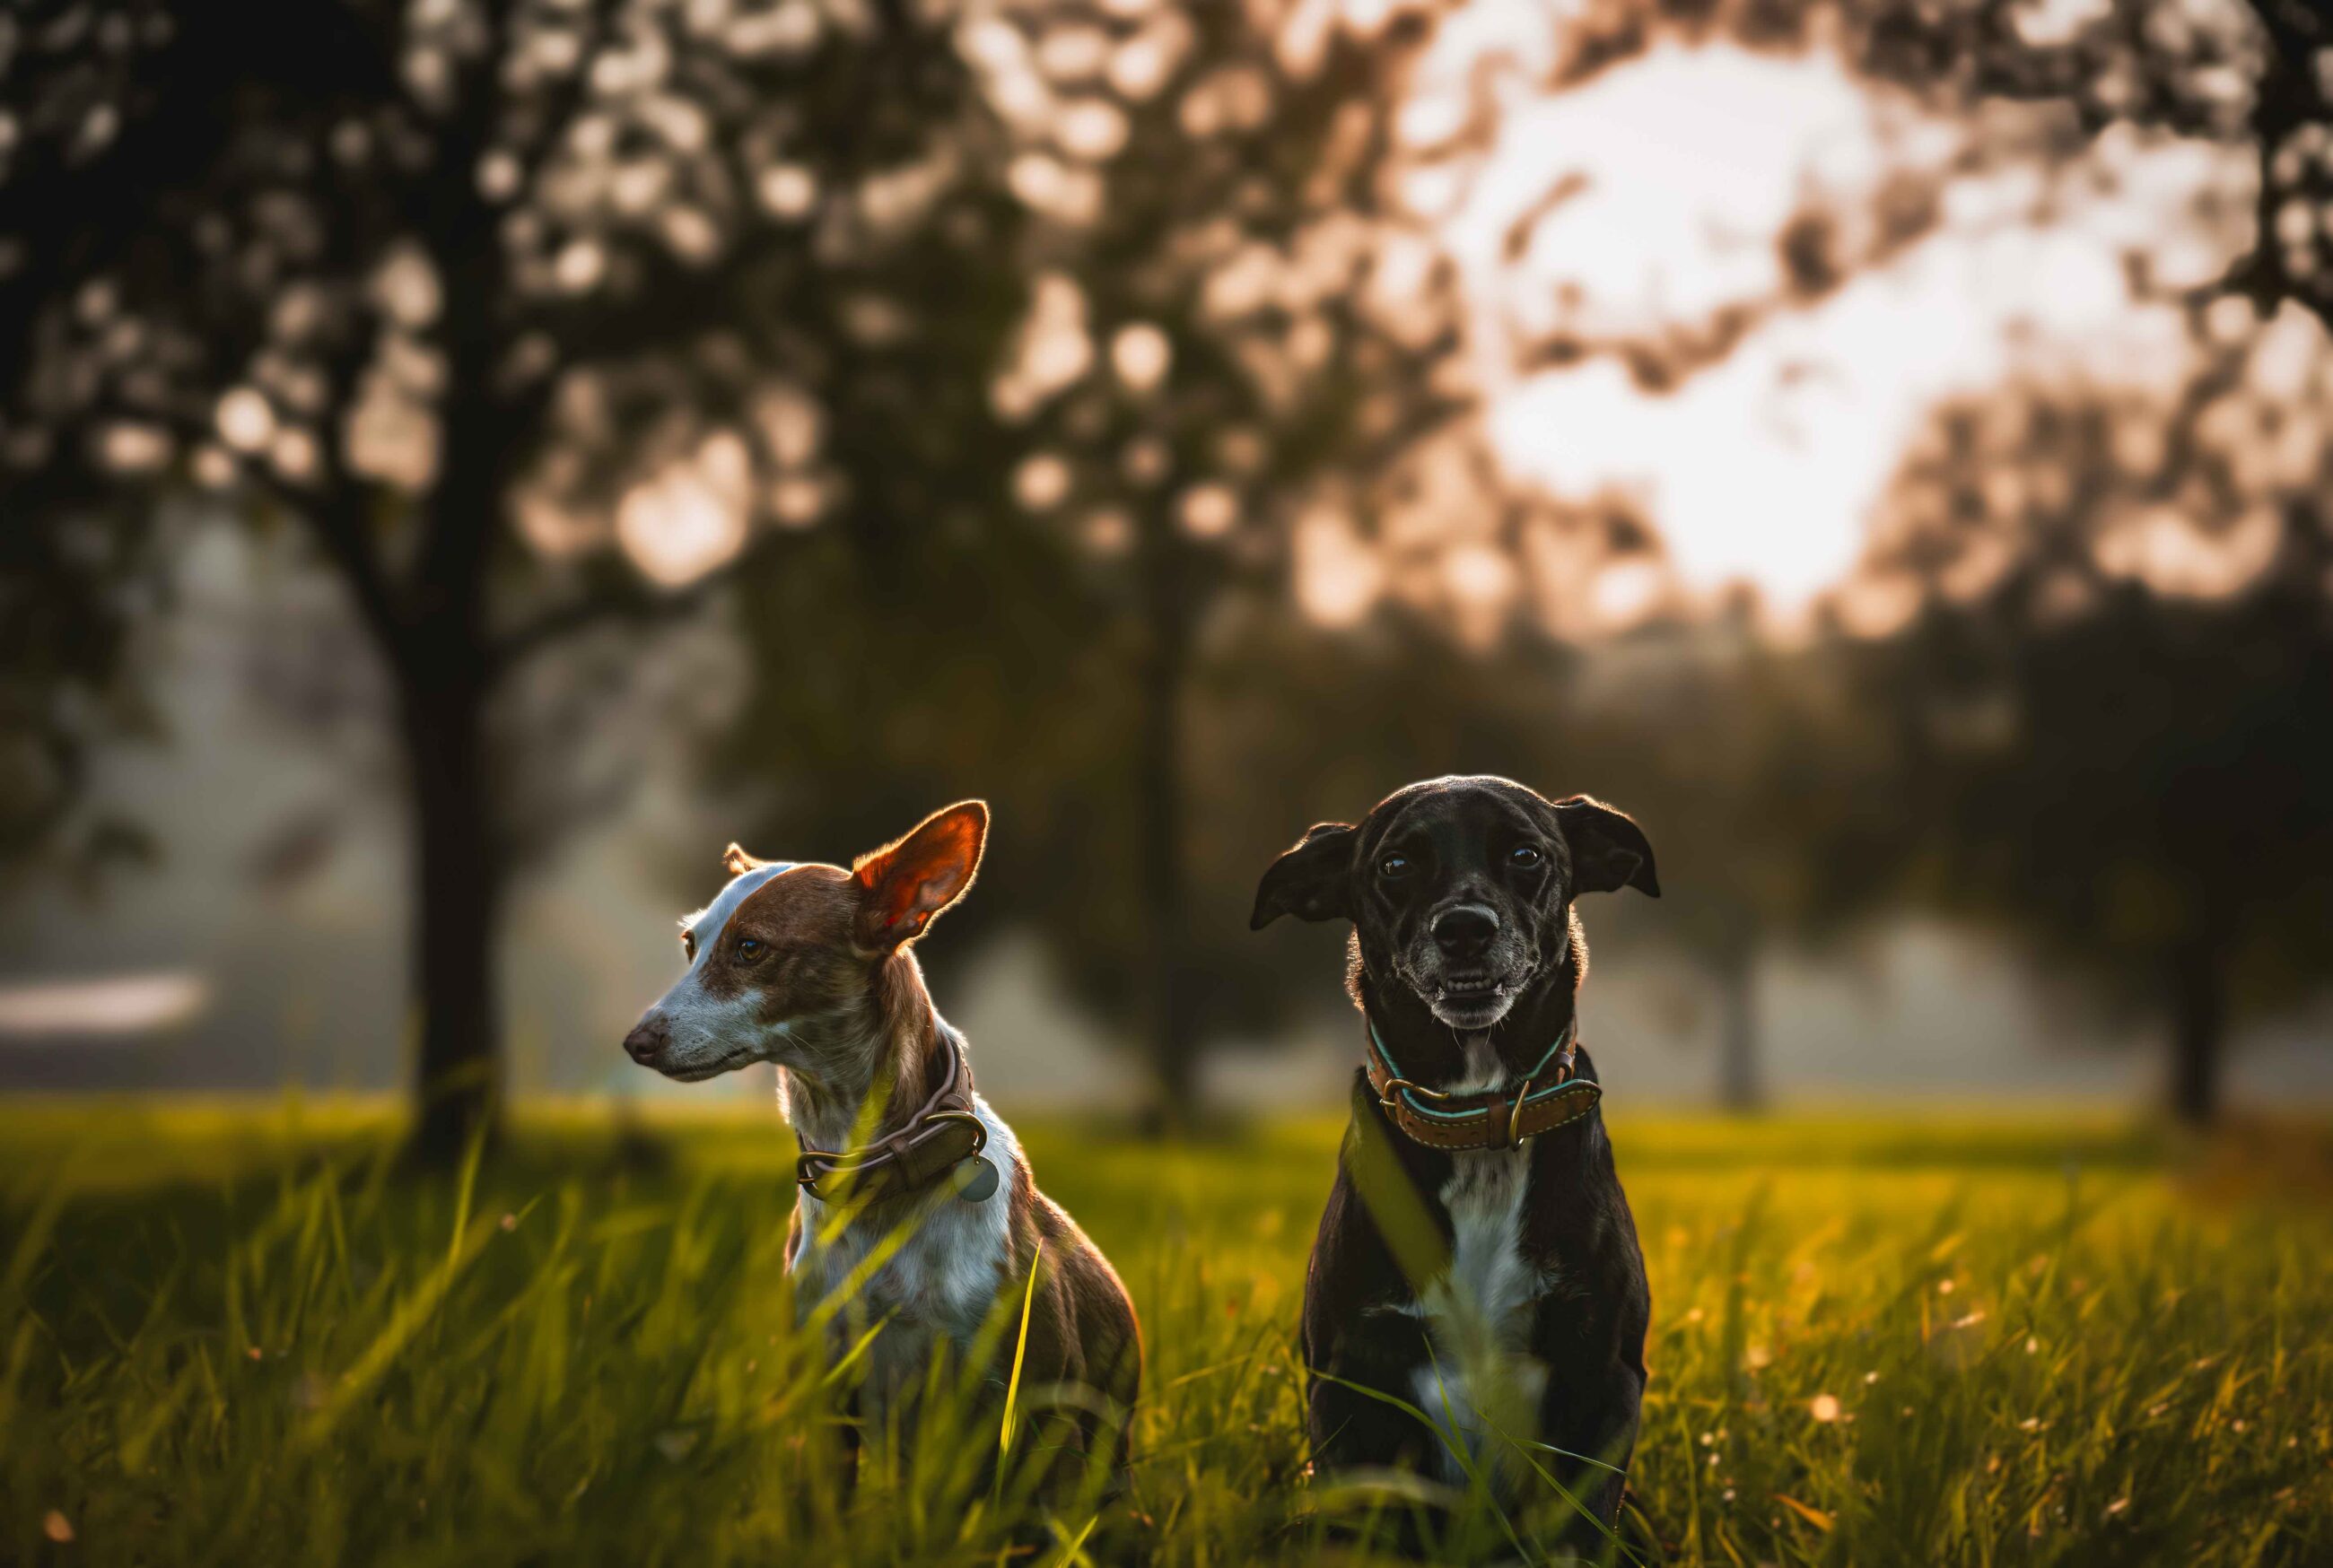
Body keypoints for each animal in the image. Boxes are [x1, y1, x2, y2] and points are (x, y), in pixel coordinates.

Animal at [616, 802, 1133, 1474]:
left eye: (751, 948)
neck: (874, 1178)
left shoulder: (1040, 1417)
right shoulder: (824, 1401)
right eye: (690, 945)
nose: (637, 1042)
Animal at [1260, 779, 1661, 1539]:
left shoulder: (1604, 1378)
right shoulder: (1348, 1387)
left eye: (1527, 854)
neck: (1478, 1121)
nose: (1465, 928)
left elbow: (1578, 1527)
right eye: (1394, 865)